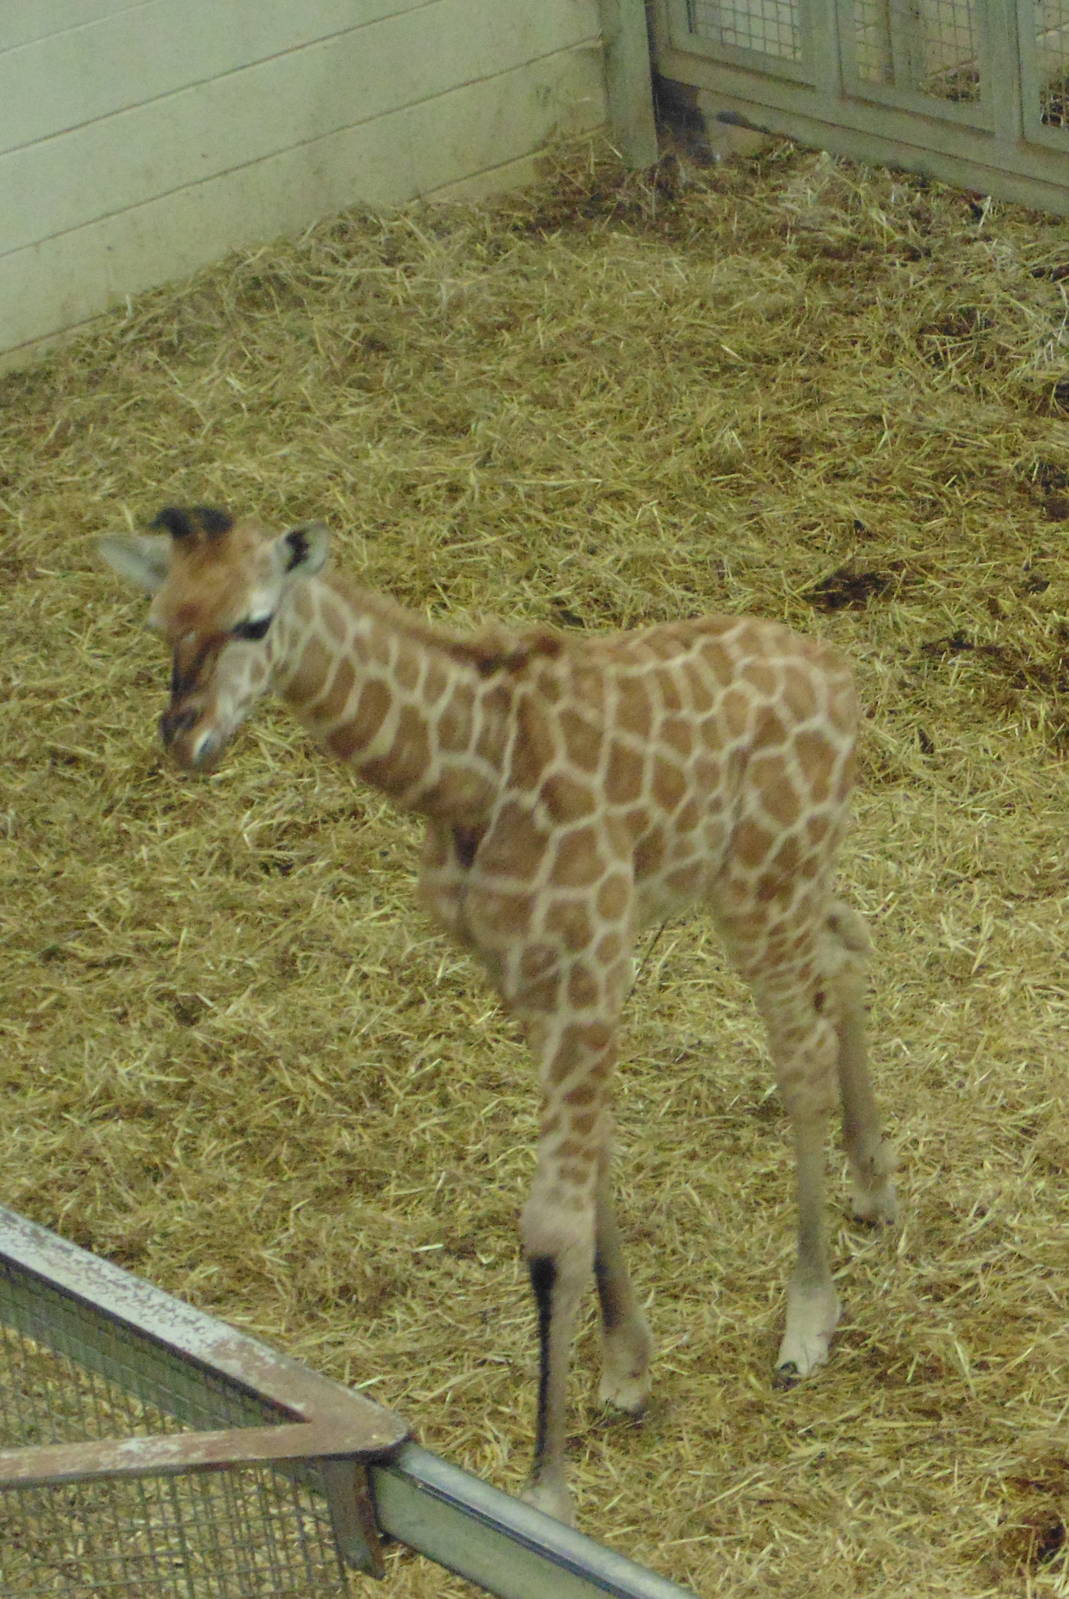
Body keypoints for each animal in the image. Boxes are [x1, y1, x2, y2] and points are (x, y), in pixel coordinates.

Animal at [100, 504, 897, 1525]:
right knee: (848, 944)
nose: (184, 736)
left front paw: (545, 1493)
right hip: (786, 872)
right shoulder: (523, 974)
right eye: (160, 620)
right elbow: (592, 1172)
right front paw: (626, 1369)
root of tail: (842, 676)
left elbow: (549, 1226)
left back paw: (806, 1322)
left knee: (796, 1052)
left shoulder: (587, 960)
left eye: (254, 620)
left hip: (760, 877)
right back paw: (874, 1189)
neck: (467, 774)